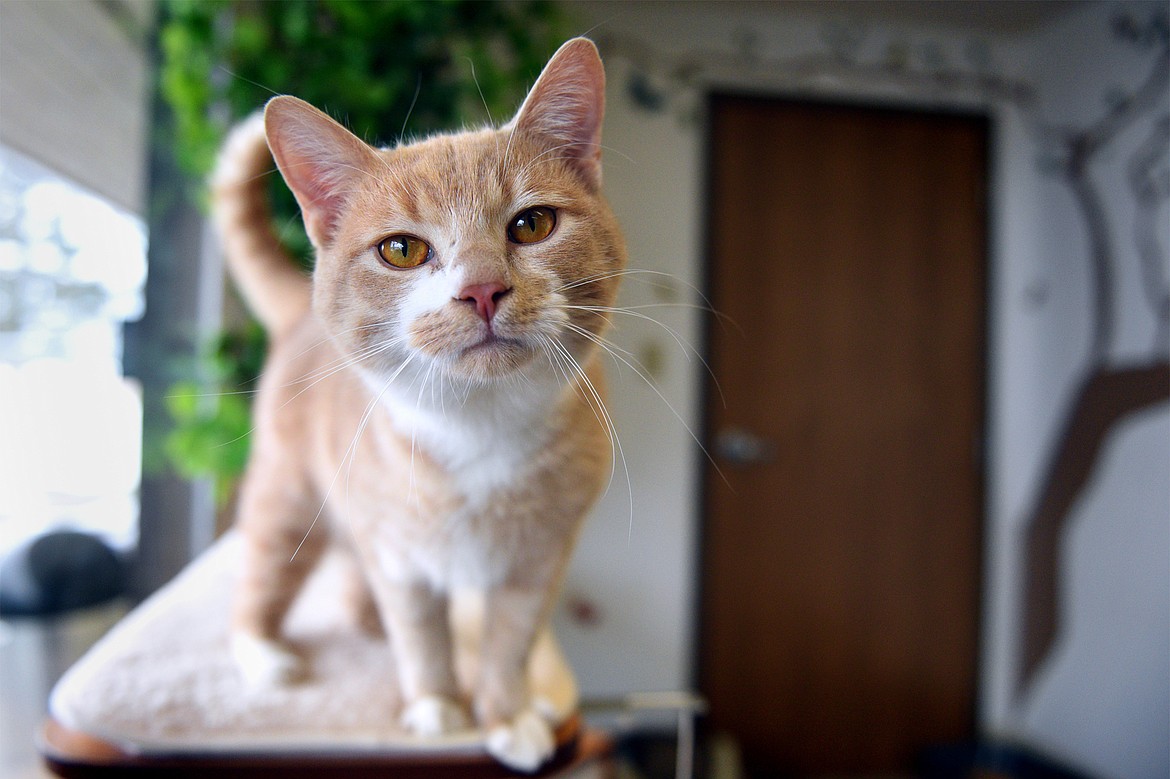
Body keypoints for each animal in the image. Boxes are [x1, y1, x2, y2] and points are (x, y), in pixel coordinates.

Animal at [210, 39, 631, 767]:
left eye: (533, 223)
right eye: (402, 249)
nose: (483, 288)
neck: (479, 429)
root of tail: (296, 316)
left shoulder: (541, 557)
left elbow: (510, 641)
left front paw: (508, 712)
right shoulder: (399, 555)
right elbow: (421, 632)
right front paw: (437, 705)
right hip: (291, 496)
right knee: (265, 565)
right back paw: (262, 651)